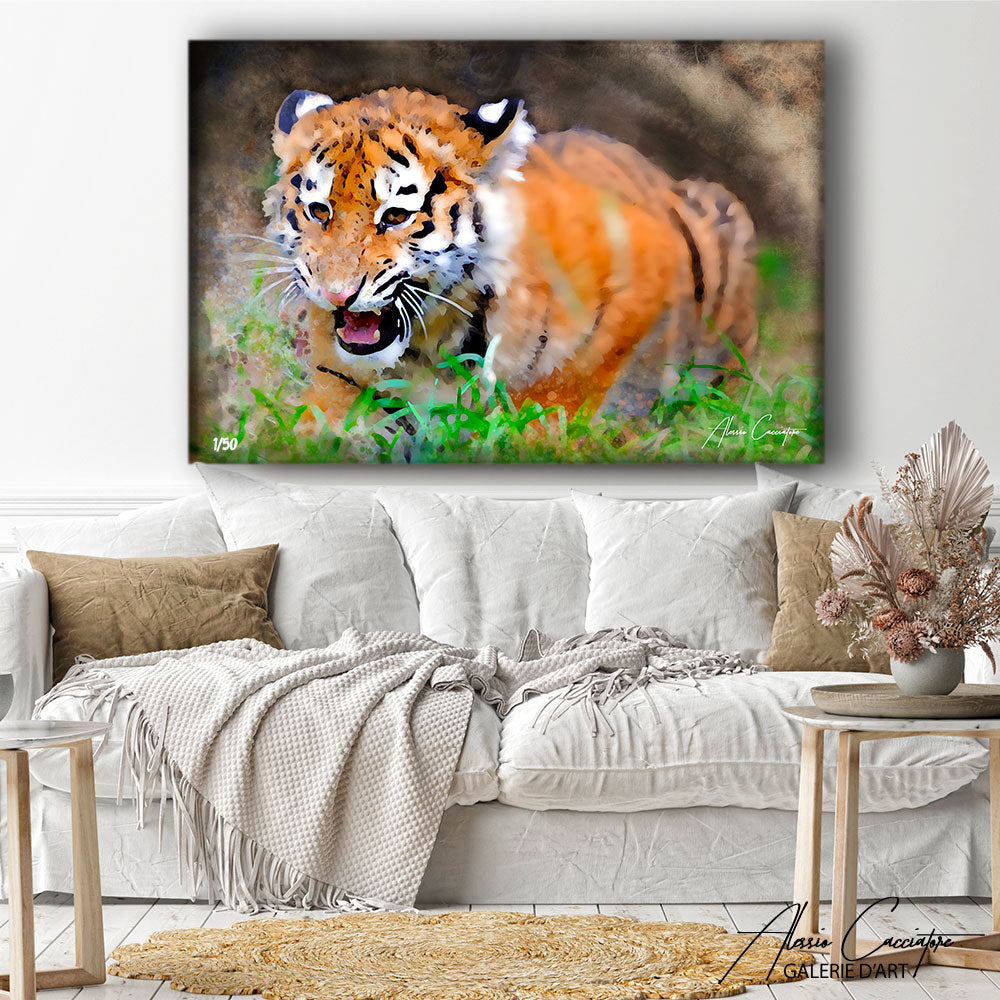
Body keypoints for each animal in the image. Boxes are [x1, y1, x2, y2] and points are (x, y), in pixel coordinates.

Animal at [259, 86, 757, 427]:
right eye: (320, 210)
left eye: (395, 215)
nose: (335, 294)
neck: (430, 342)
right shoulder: (336, 375)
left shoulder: (645, 270)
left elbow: (564, 390)